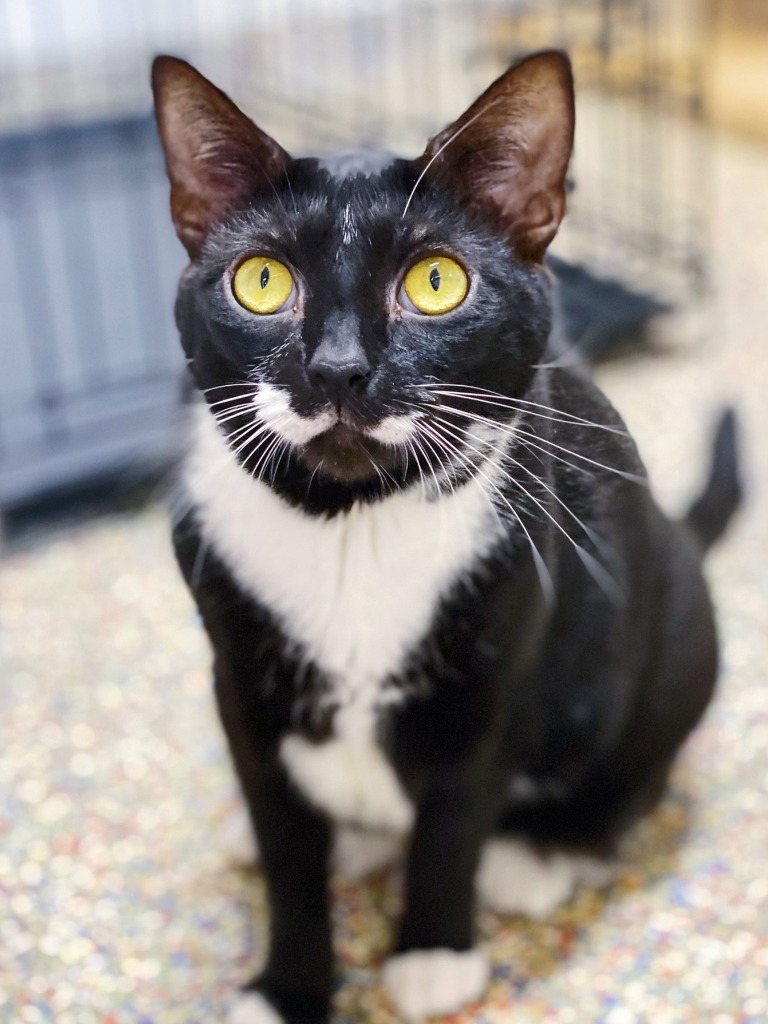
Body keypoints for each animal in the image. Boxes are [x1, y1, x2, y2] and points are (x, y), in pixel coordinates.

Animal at [151, 49, 741, 1024]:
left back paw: (540, 854)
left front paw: (431, 952)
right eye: (261, 282)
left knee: (638, 770)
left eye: (437, 283)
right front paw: (287, 987)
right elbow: (285, 847)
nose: (339, 368)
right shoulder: (233, 668)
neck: (349, 526)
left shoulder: (499, 660)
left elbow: (455, 819)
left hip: (677, 632)